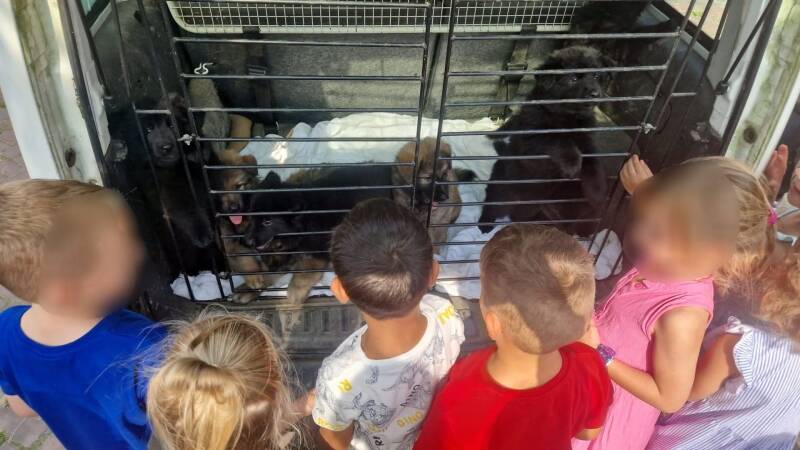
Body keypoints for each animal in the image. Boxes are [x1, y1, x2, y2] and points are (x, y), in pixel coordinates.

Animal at [240, 166, 393, 304]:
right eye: (251, 218)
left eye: (267, 221)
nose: (246, 241)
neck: (304, 222)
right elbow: (268, 273)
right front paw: (248, 288)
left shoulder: (318, 254)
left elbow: (301, 275)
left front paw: (293, 295)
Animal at [478, 46, 612, 234]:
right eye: (573, 78)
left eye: (596, 76)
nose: (595, 93)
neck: (568, 117)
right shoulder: (533, 136)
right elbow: (559, 141)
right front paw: (572, 164)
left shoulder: (587, 141)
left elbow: (594, 163)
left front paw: (598, 192)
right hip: (503, 193)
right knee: (491, 205)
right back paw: (484, 225)